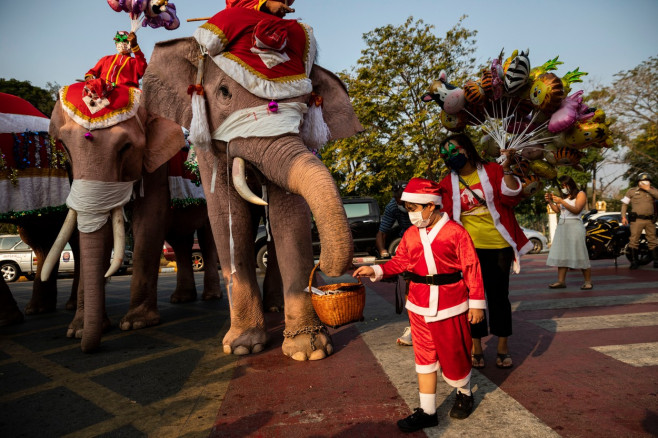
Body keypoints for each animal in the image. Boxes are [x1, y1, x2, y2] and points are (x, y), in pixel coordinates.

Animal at [141, 17, 362, 362]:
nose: (324, 266)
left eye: (307, 103)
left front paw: (308, 351)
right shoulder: (208, 147)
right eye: (224, 93)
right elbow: (229, 216)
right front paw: (244, 347)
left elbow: (288, 215)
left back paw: (276, 307)